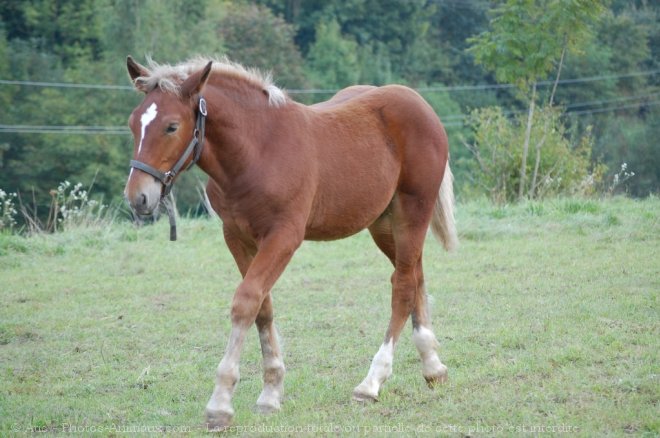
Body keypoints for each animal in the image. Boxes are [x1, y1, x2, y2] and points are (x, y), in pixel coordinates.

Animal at [126, 55, 462, 428]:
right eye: (132, 124)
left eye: (171, 126)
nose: (138, 197)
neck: (258, 151)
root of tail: (421, 104)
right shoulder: (236, 237)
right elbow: (263, 306)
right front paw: (271, 393)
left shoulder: (284, 236)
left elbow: (246, 301)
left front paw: (220, 403)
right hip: (383, 224)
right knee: (415, 274)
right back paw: (433, 366)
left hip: (412, 212)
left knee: (402, 286)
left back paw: (371, 382)